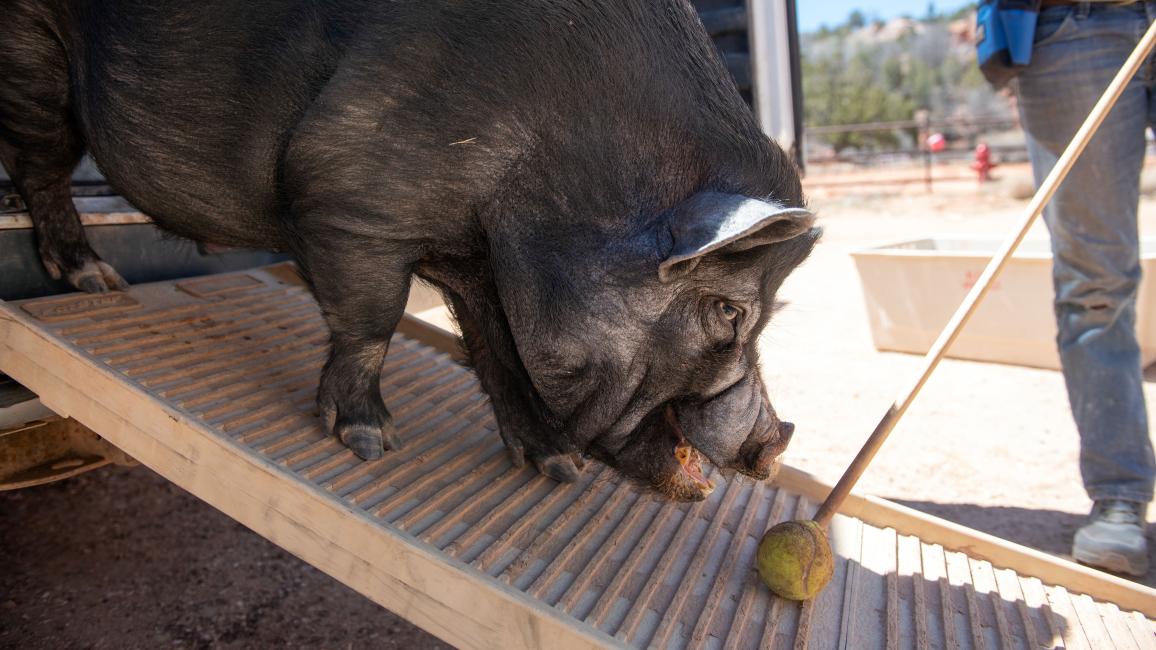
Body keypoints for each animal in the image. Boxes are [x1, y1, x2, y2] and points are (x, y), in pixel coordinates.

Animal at [0, 0, 818, 501]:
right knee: (40, 163)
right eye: (729, 314)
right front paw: (369, 443)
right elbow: (374, 320)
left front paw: (555, 470)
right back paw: (93, 280)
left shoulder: (478, 256)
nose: (773, 445)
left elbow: (496, 350)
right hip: (32, 56)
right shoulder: (350, 200)